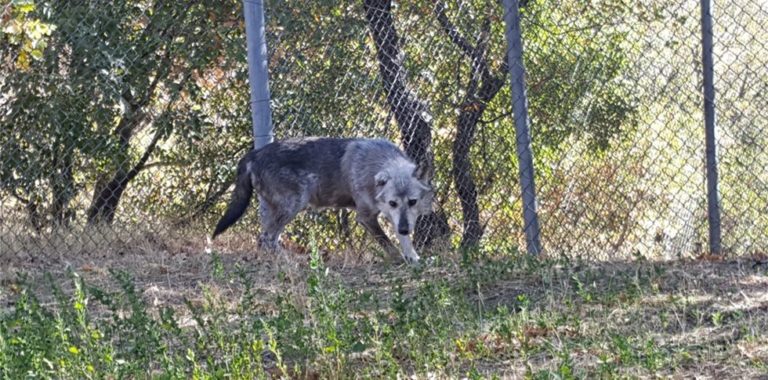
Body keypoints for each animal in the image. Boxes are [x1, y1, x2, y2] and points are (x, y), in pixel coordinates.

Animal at [212, 137, 432, 264]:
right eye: (393, 203)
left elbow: (404, 241)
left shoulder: (397, 219)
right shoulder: (366, 217)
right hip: (294, 205)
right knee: (266, 239)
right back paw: (292, 260)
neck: (376, 162)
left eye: (412, 202)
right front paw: (400, 259)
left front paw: (413, 257)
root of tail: (253, 153)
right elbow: (388, 243)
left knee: (265, 239)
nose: (404, 228)